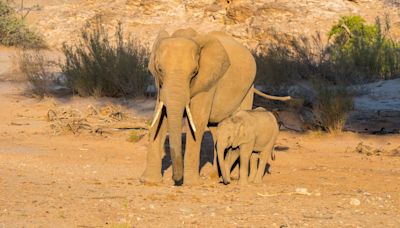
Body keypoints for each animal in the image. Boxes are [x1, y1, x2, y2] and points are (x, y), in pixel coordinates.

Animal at [141, 28, 290, 185]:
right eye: (159, 69)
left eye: (194, 72)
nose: (176, 180)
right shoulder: (161, 85)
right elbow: (159, 118)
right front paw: (149, 181)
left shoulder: (208, 82)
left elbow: (197, 121)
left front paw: (191, 183)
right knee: (215, 130)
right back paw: (214, 176)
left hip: (248, 89)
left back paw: (231, 177)